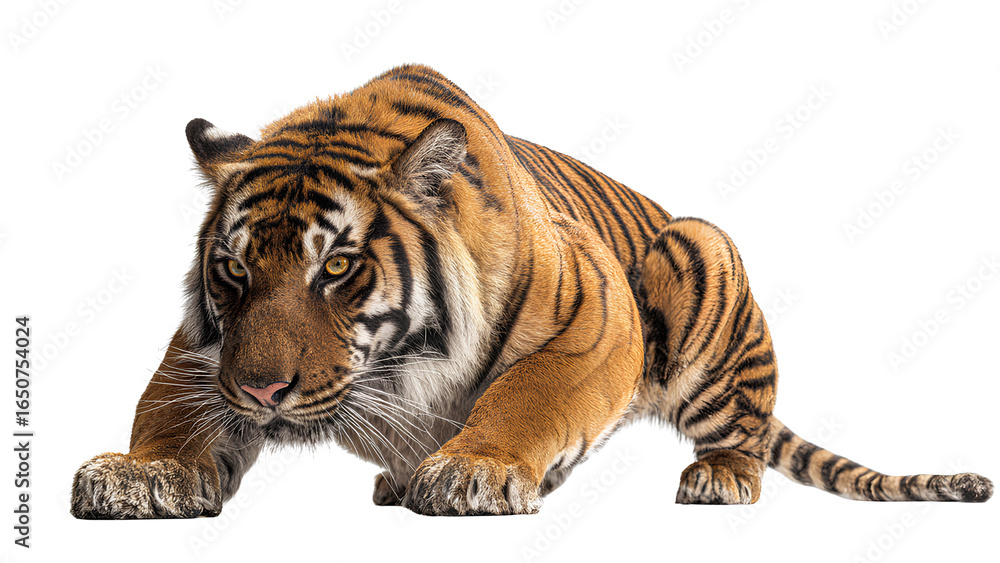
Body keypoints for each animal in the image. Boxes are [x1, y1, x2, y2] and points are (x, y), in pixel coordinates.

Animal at [71, 64, 992, 518]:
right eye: (234, 269)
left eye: (334, 267)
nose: (262, 391)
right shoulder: (203, 349)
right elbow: (170, 404)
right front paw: (138, 473)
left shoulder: (598, 323)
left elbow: (526, 394)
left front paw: (472, 470)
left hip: (701, 251)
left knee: (744, 432)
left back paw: (720, 477)